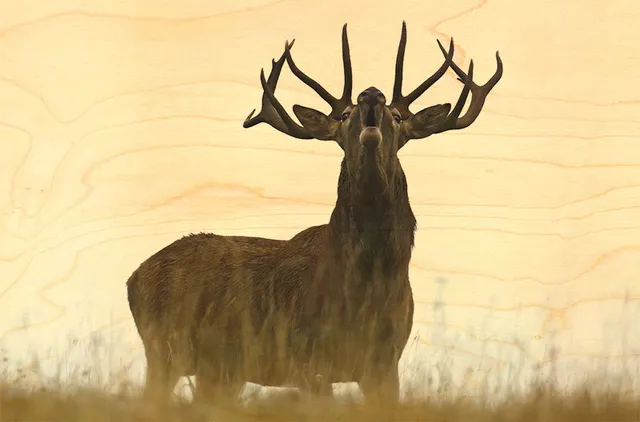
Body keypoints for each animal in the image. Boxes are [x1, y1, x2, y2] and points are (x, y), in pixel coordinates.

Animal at [126, 21, 502, 408]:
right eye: (345, 115)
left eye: (397, 117)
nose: (371, 94)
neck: (364, 289)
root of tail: (133, 278)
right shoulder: (305, 355)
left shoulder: (385, 362)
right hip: (163, 348)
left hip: (220, 370)